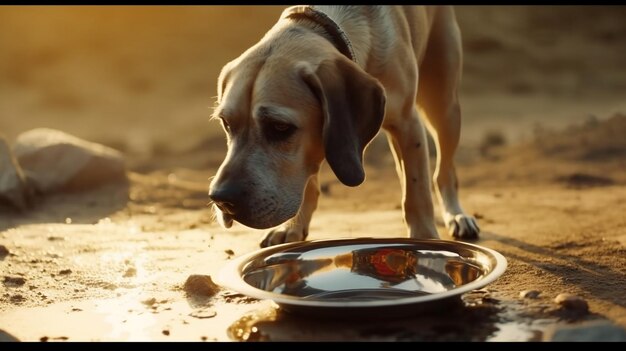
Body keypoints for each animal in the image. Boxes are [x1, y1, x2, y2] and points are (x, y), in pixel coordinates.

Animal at [208, 4, 478, 248]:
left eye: (279, 127)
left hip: (444, 107)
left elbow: (417, 190)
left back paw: (456, 214)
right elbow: (307, 182)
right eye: (226, 123)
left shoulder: (408, 124)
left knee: (443, 172)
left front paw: (425, 239)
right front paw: (292, 227)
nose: (221, 199)